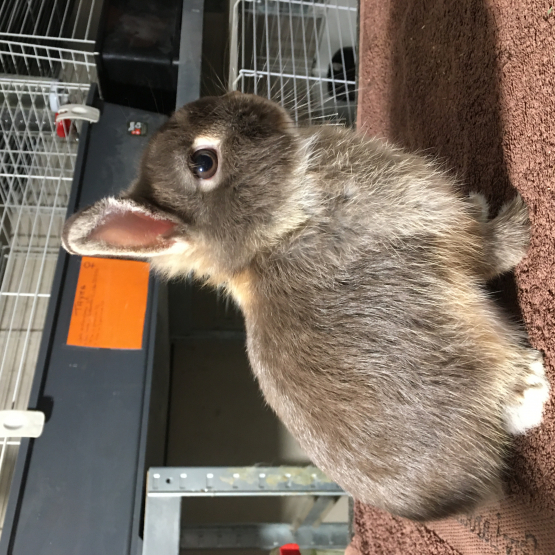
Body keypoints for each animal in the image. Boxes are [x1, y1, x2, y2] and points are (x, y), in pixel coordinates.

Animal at [63, 91, 548, 520]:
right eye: (202, 162)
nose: (248, 101)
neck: (280, 226)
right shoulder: (438, 225)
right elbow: (487, 250)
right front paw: (520, 218)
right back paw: (531, 382)